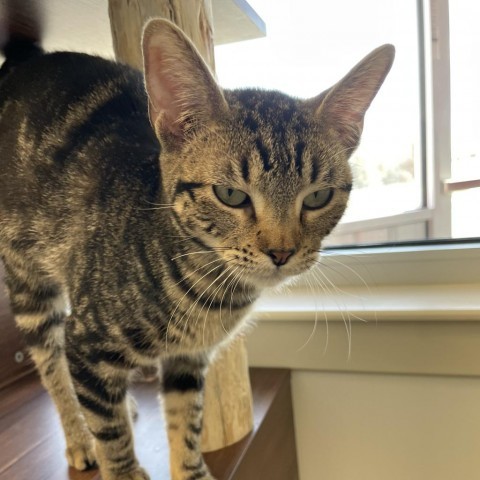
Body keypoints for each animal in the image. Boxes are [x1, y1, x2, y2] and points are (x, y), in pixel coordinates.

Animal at [0, 16, 394, 480]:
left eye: (317, 197)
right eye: (231, 194)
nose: (281, 253)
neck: (208, 289)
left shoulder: (189, 361)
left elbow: (186, 422)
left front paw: (191, 469)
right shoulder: (87, 343)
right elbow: (111, 435)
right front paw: (119, 463)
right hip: (29, 284)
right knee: (53, 366)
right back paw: (80, 438)